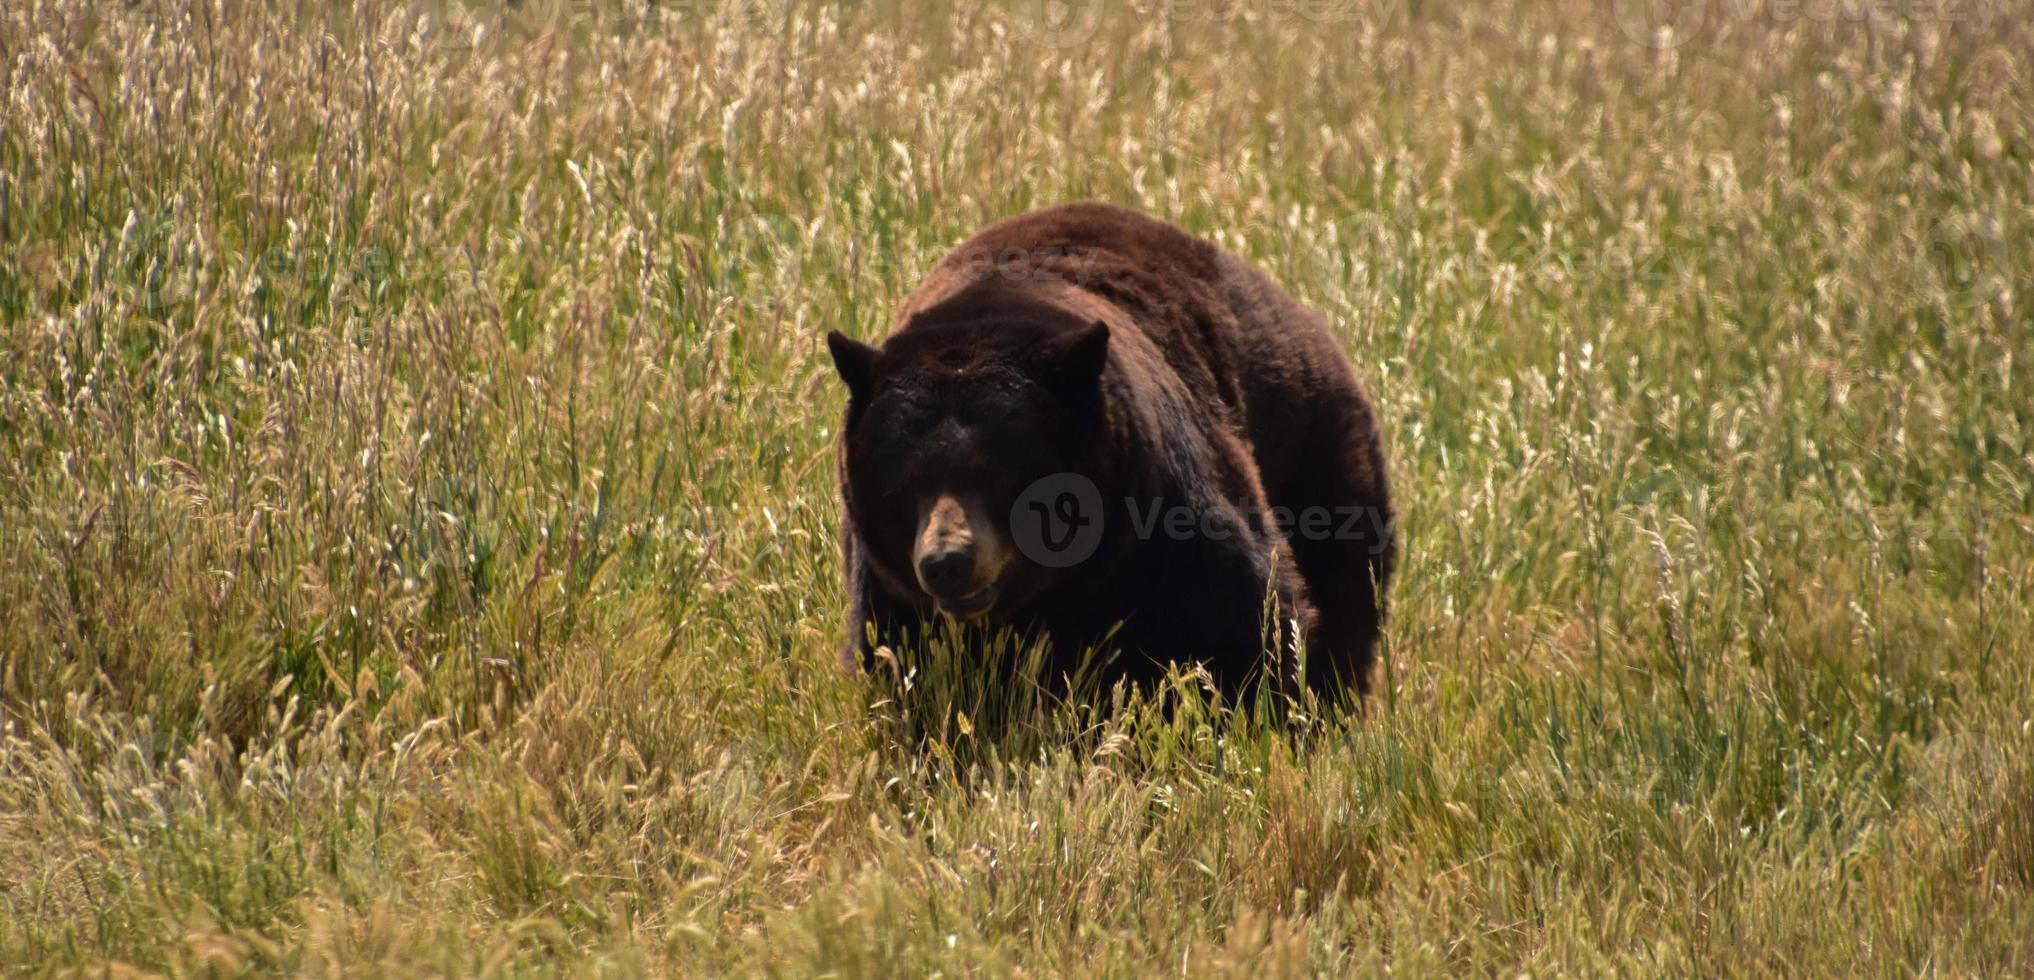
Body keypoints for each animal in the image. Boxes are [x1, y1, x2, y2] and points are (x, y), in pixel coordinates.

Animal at [825, 201, 1399, 703]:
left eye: (998, 474)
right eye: (903, 484)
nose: (946, 562)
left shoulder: (1171, 513)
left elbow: (1247, 625)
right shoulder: (889, 589)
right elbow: (905, 668)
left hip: (1320, 460)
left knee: (1347, 593)